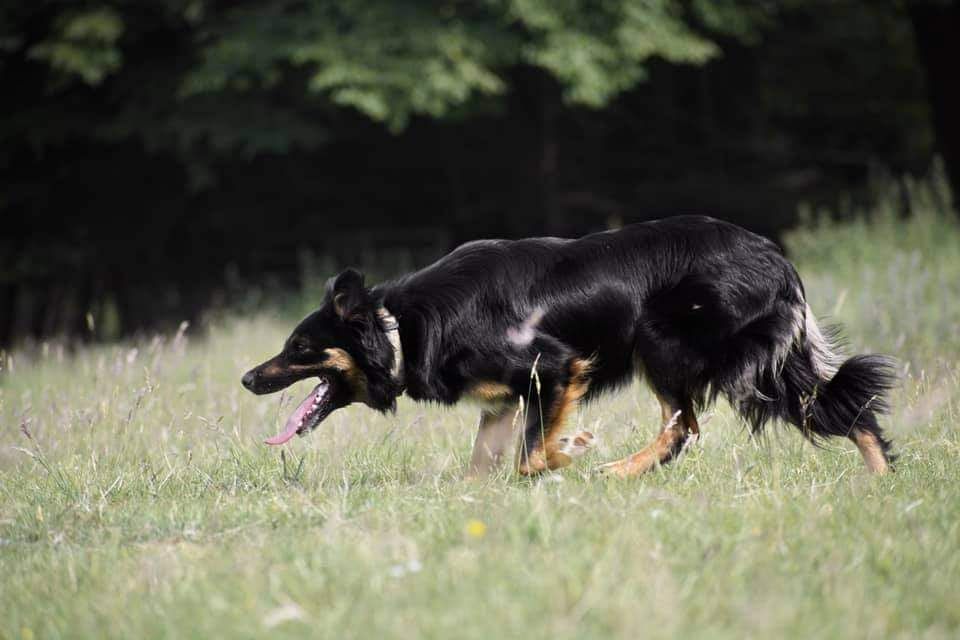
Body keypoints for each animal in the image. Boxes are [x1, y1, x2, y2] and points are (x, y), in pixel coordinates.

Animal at [242, 215, 900, 476]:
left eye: (299, 347)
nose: (248, 378)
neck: (400, 327)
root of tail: (776, 260)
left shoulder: (555, 366)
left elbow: (530, 457)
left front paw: (573, 450)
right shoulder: (502, 402)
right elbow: (485, 466)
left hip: (664, 344)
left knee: (684, 426)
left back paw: (613, 468)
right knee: (845, 410)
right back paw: (878, 484)